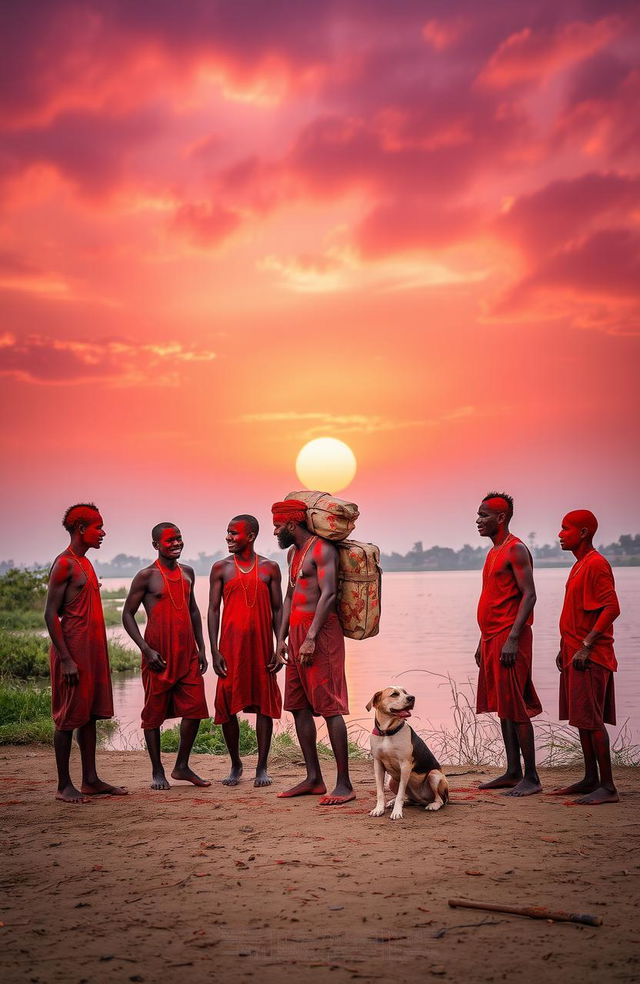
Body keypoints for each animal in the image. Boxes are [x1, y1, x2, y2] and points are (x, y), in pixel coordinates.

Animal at [368, 688, 448, 820]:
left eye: (405, 692)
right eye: (394, 694)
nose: (411, 697)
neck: (388, 732)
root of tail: (421, 800)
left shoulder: (405, 765)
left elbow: (400, 794)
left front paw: (397, 812)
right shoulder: (378, 764)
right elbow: (380, 792)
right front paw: (379, 809)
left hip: (434, 775)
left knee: (440, 799)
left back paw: (433, 805)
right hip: (391, 781)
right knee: (409, 798)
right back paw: (394, 802)